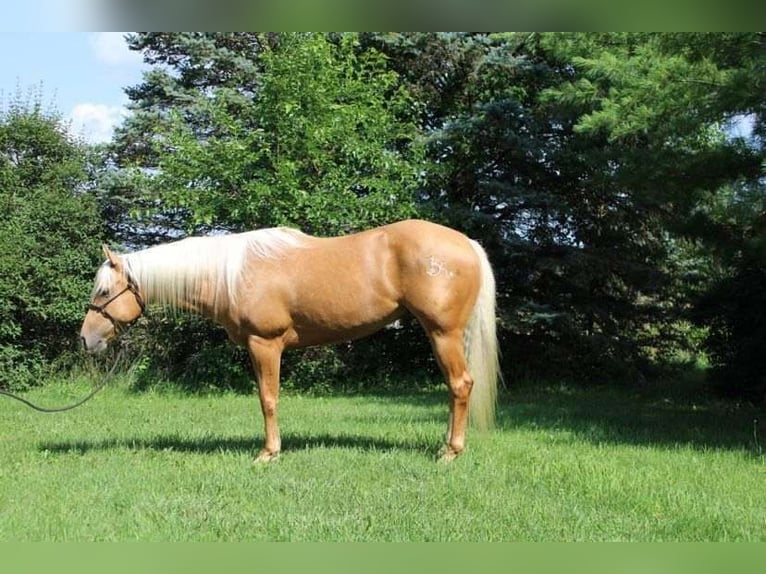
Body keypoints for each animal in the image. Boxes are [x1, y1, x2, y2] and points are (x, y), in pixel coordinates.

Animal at [81, 220, 504, 464]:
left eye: (104, 292)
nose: (86, 339)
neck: (231, 274)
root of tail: (466, 243)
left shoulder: (265, 344)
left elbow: (268, 399)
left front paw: (268, 454)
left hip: (444, 334)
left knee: (460, 385)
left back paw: (451, 452)